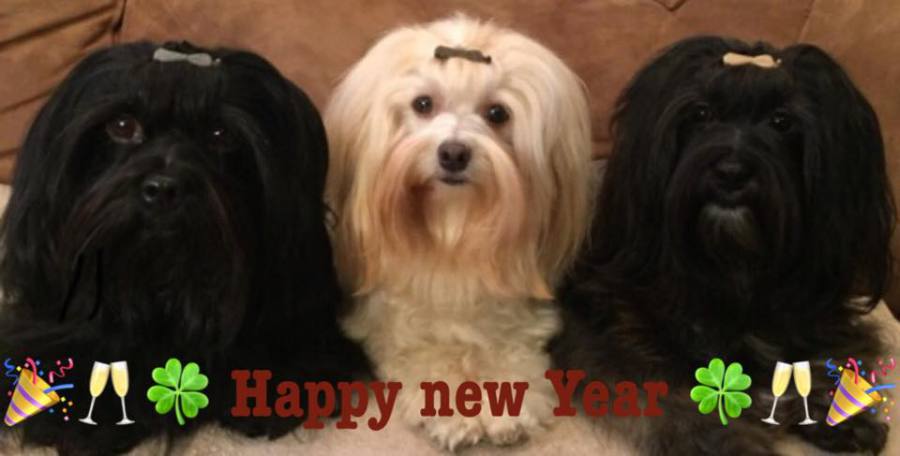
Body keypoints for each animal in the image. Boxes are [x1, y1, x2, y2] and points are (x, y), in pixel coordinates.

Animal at [325, 16, 594, 450]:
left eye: (497, 113)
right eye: (422, 104)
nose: (453, 153)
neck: (453, 229)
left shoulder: (513, 308)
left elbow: (509, 345)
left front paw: (505, 399)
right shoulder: (393, 316)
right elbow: (425, 350)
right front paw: (452, 405)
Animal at [551, 36, 896, 454]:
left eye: (782, 121)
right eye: (701, 113)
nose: (731, 173)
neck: (731, 266)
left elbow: (830, 354)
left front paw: (840, 414)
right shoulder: (609, 334)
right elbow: (672, 398)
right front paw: (731, 441)